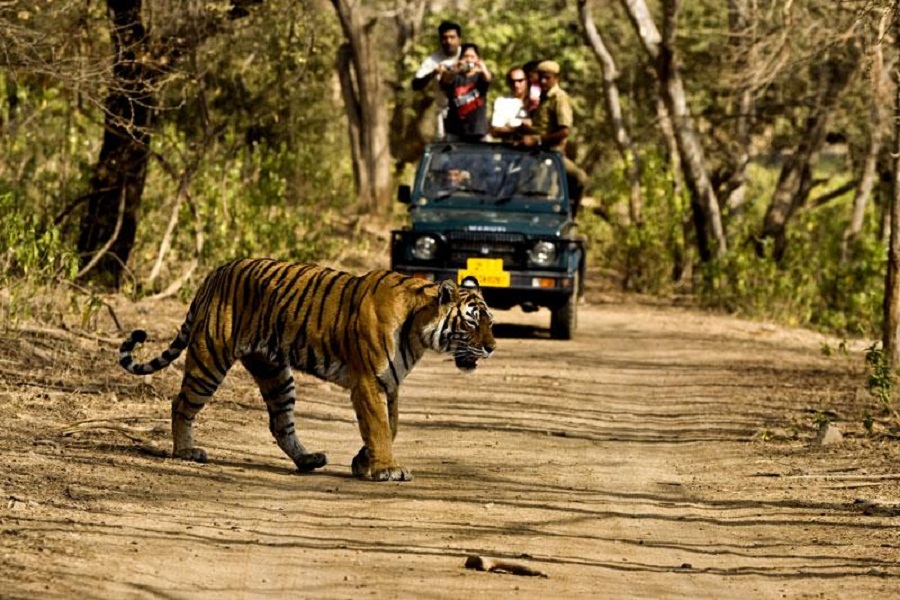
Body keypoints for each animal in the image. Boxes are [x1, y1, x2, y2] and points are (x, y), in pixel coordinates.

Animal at [117, 258, 496, 482]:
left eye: (490, 321)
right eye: (471, 321)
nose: (492, 348)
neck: (419, 330)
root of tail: (215, 272)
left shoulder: (391, 384)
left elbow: (391, 426)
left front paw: (364, 462)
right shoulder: (369, 382)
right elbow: (379, 426)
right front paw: (386, 469)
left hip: (275, 372)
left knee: (280, 423)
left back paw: (308, 460)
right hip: (211, 357)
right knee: (181, 403)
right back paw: (186, 452)